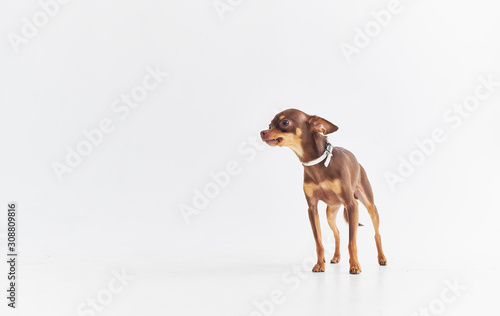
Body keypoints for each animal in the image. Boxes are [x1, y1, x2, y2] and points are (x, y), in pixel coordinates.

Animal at [260, 108, 388, 274]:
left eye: (285, 123)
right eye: (270, 125)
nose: (262, 132)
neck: (317, 164)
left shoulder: (351, 205)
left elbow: (352, 242)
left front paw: (354, 265)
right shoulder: (312, 208)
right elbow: (319, 242)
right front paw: (320, 264)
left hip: (369, 205)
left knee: (377, 234)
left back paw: (381, 258)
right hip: (331, 213)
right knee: (337, 233)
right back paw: (335, 257)